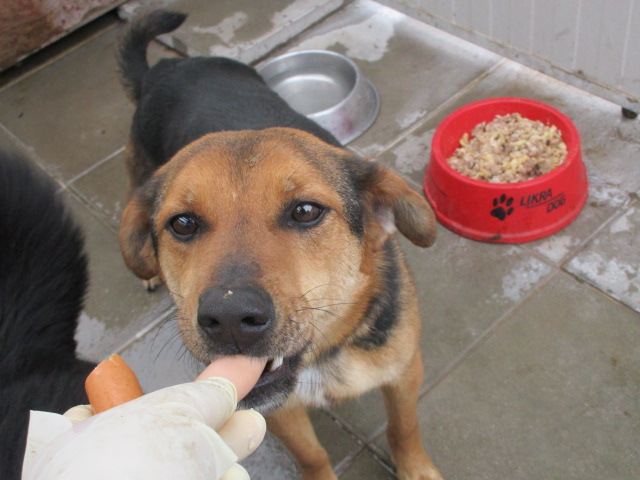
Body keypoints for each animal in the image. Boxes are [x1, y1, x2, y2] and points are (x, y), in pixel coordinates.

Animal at [118, 10, 443, 480]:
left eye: (305, 211)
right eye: (182, 224)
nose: (230, 318)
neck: (321, 356)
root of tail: (163, 68)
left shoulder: (404, 370)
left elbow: (404, 428)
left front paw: (416, 470)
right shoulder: (277, 410)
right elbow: (312, 454)